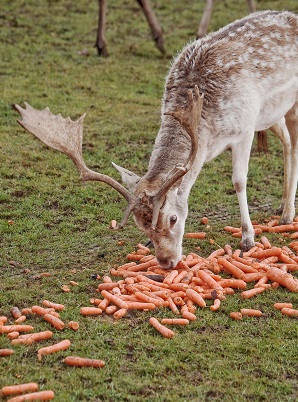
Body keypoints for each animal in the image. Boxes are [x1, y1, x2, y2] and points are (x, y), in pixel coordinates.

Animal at [15, 11, 296, 270]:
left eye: (173, 219)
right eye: (141, 225)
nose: (166, 262)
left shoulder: (245, 128)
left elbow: (239, 181)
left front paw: (248, 239)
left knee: (293, 144)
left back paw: (287, 214)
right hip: (272, 114)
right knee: (286, 141)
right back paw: (283, 204)